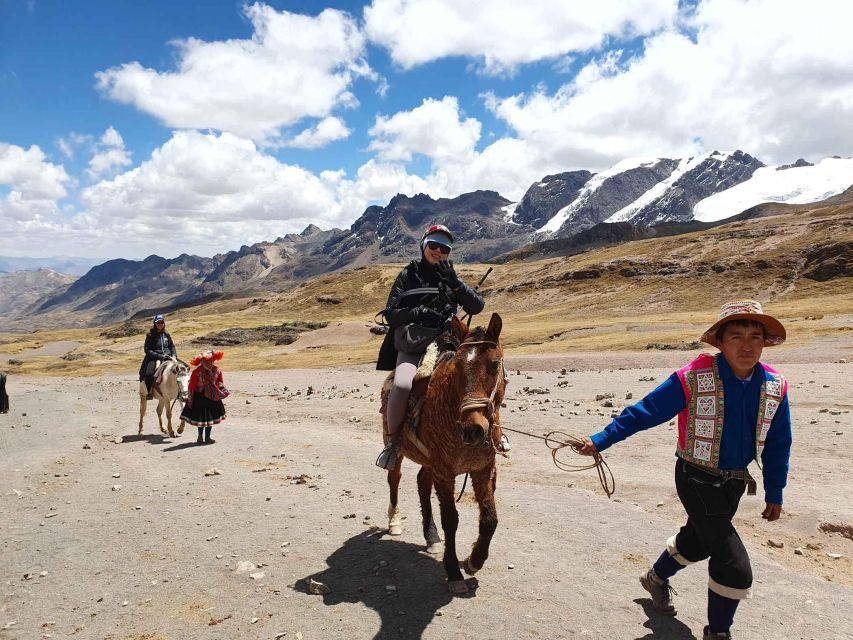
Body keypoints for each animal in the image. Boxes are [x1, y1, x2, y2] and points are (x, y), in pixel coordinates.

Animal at [384, 312, 506, 592]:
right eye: (457, 367)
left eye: (494, 364)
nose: (473, 429)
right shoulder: (445, 472)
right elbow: (451, 519)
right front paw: (453, 573)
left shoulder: (483, 469)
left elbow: (489, 519)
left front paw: (474, 561)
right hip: (398, 448)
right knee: (395, 479)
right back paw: (394, 521)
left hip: (430, 462)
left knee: (421, 482)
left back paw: (432, 537)